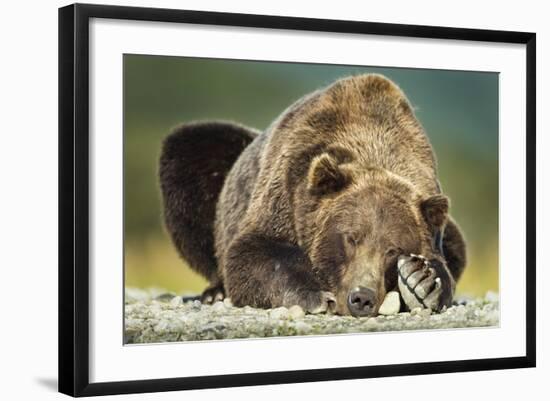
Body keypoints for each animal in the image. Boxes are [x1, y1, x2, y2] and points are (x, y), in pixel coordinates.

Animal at [162, 73, 468, 314]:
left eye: (393, 250)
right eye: (351, 237)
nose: (362, 298)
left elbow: (443, 262)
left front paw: (422, 281)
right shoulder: (288, 188)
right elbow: (252, 251)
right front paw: (315, 295)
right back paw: (214, 292)